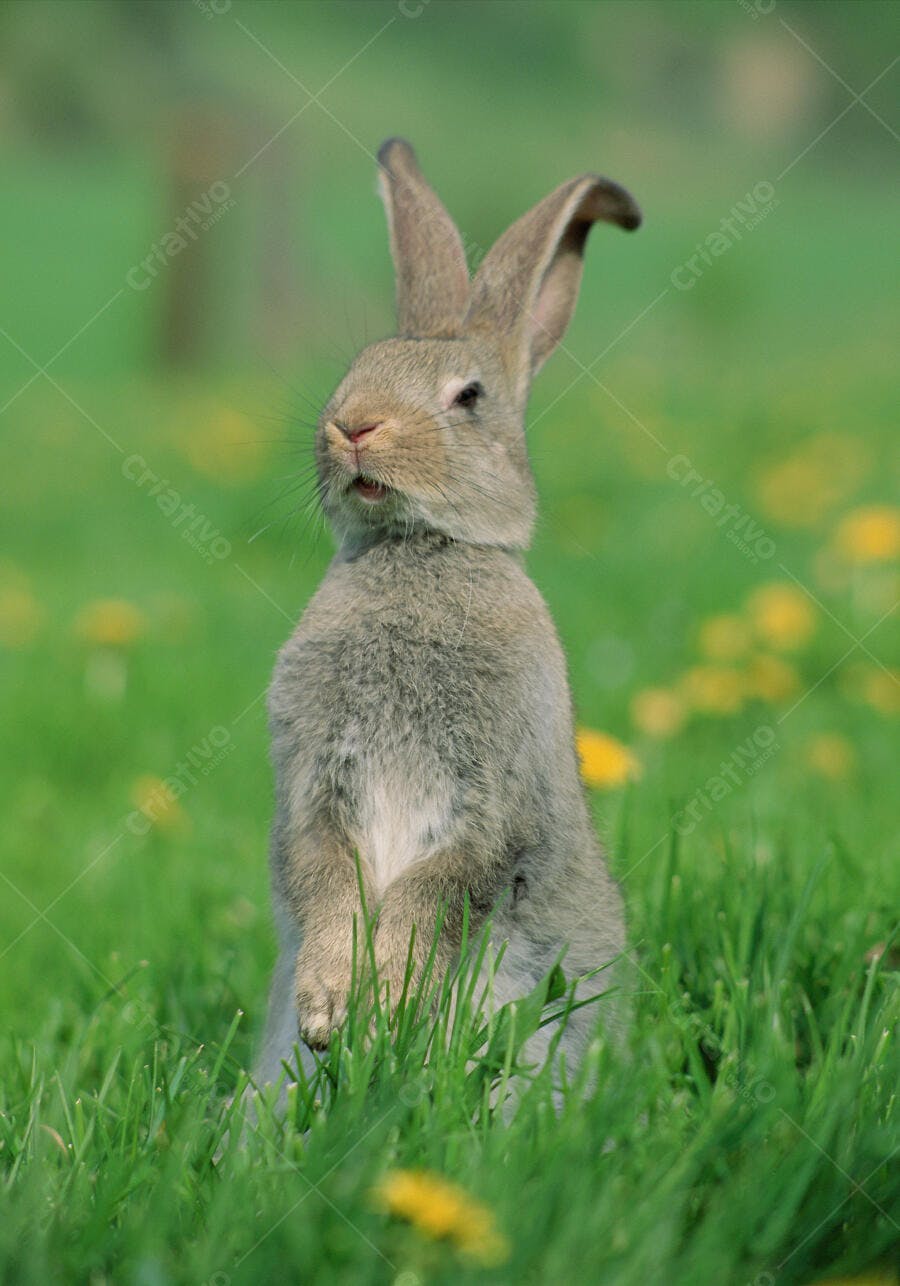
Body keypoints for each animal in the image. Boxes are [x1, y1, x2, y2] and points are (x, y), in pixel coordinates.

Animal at [254, 138, 641, 1091]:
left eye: (468, 397)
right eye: (357, 365)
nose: (354, 426)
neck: (422, 550)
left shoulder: (492, 795)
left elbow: (440, 888)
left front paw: (384, 1001)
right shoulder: (313, 783)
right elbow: (322, 873)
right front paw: (330, 1007)